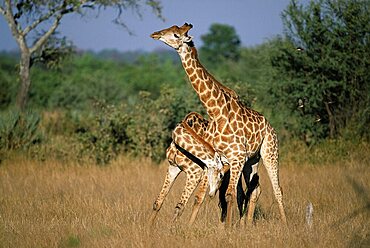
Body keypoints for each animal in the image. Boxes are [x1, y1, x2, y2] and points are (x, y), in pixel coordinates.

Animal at [152, 23, 288, 227]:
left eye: (176, 34)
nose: (155, 34)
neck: (216, 112)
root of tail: (270, 126)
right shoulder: (214, 163)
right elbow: (198, 197)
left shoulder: (228, 160)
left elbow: (227, 195)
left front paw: (226, 229)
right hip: (251, 161)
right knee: (254, 189)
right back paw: (245, 225)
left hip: (269, 152)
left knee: (276, 189)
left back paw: (284, 225)